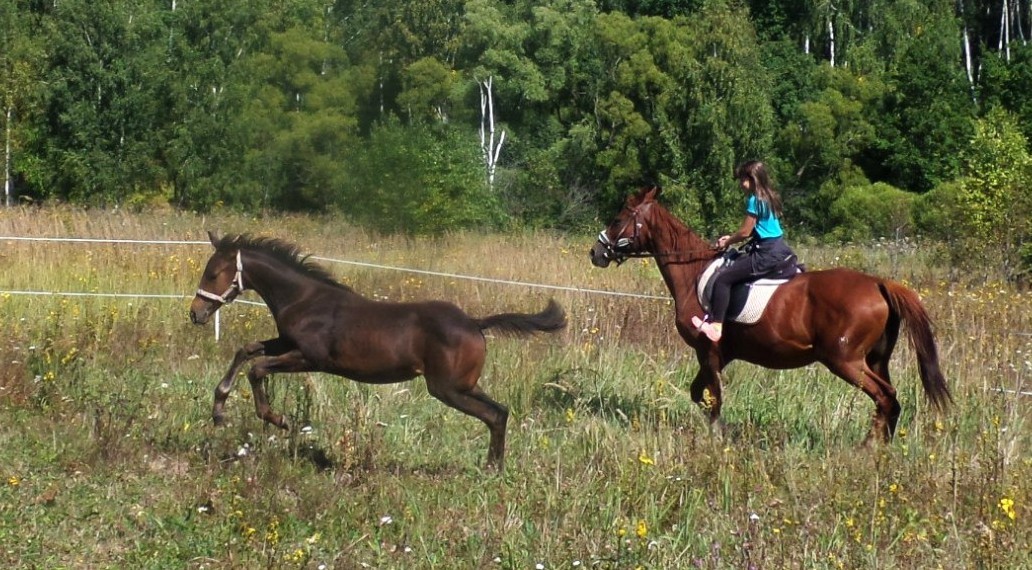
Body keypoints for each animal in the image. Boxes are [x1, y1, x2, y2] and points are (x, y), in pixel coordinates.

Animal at [189, 229, 569, 468]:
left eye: (214, 273)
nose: (196, 313)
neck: (305, 300)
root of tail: (475, 323)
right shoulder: (286, 342)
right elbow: (246, 350)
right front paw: (219, 408)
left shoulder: (310, 357)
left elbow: (257, 368)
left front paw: (279, 419)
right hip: (464, 385)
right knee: (501, 412)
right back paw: (495, 467)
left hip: (446, 388)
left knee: (493, 415)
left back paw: (491, 468)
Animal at [590, 184, 949, 444]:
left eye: (619, 218)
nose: (596, 252)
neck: (693, 273)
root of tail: (878, 283)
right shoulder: (719, 355)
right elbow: (700, 395)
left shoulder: (708, 351)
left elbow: (712, 398)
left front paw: (719, 438)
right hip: (875, 360)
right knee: (888, 401)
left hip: (845, 361)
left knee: (885, 398)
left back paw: (868, 448)